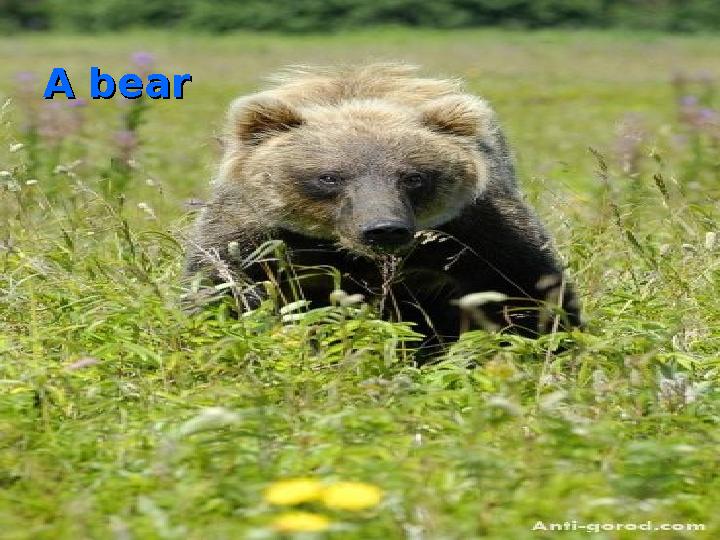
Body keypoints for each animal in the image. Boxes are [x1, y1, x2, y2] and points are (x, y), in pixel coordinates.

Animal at [185, 64, 581, 350]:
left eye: (413, 177)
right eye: (329, 177)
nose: (383, 228)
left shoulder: (475, 233)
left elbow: (525, 290)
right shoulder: (257, 232)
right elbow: (223, 287)